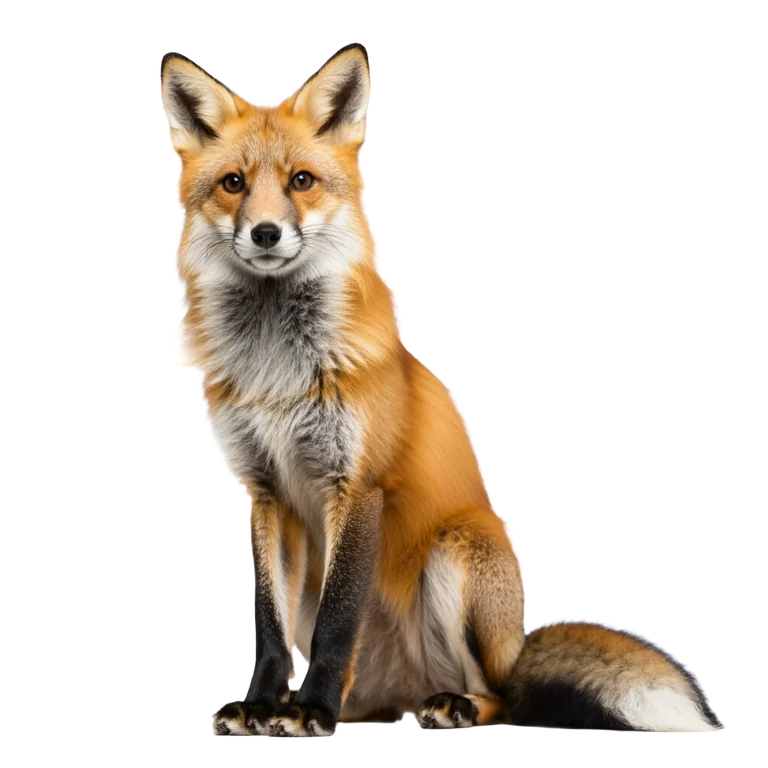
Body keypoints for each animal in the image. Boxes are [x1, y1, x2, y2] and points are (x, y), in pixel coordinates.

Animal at [160, 44, 724, 737]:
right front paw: (266, 705)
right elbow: (268, 626)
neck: (278, 376)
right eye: (233, 184)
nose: (265, 232)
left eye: (301, 181)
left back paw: (445, 705)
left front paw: (311, 707)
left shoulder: (356, 483)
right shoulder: (265, 493)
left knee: (503, 696)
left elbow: (336, 625)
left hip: (457, 557)